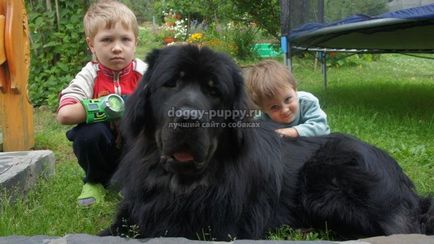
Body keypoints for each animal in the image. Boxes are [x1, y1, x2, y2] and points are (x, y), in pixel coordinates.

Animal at [102, 44, 434, 240]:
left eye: (214, 91)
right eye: (171, 83)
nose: (188, 118)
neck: (183, 185)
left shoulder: (214, 230)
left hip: (329, 174)